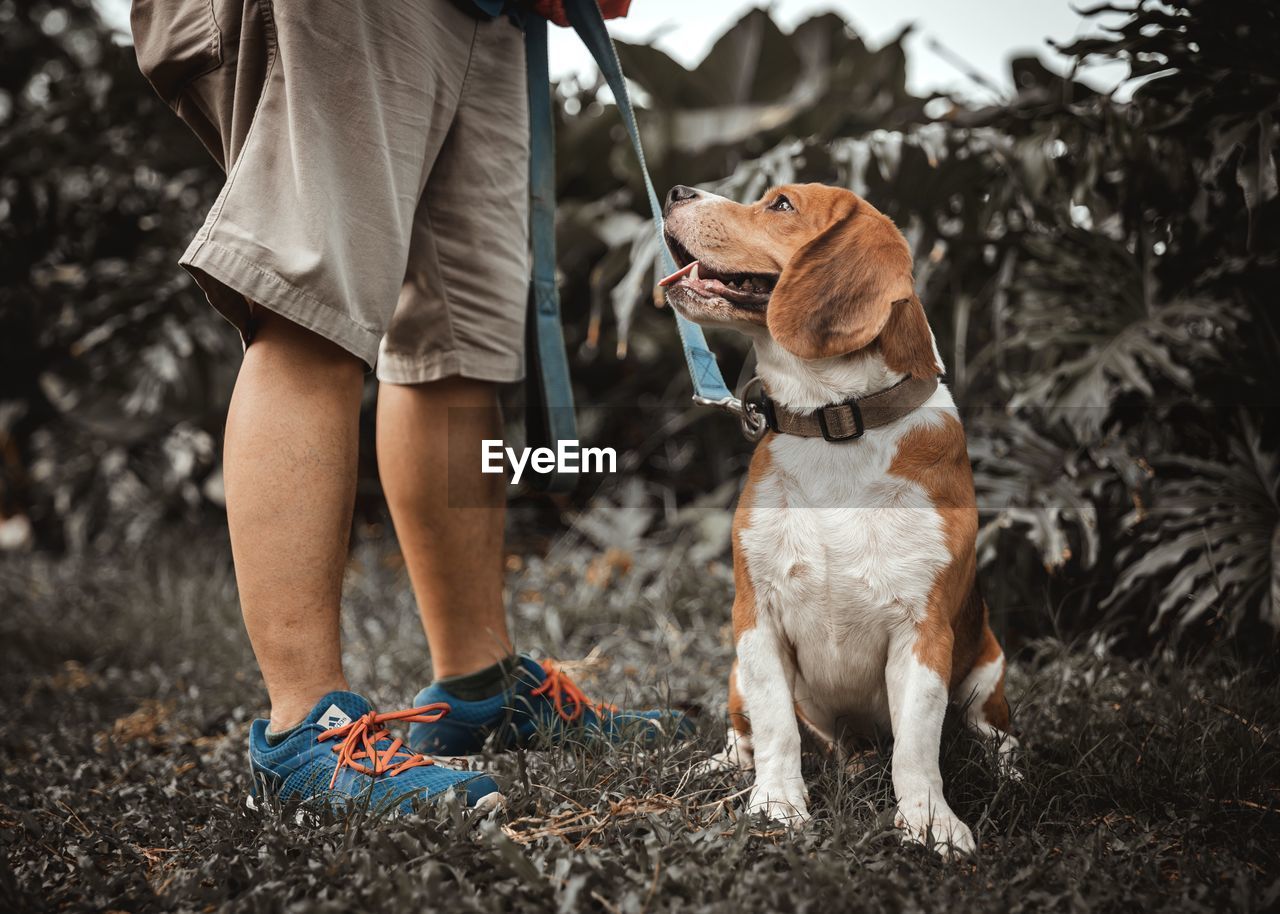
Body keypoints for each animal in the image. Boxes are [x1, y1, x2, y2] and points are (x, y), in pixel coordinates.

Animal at [665, 183, 1013, 855]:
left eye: (779, 205)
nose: (675, 191)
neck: (834, 421)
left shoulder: (923, 632)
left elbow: (917, 747)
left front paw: (930, 823)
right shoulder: (756, 617)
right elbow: (777, 728)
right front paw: (777, 806)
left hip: (989, 665)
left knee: (988, 731)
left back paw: (1005, 764)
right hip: (736, 674)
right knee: (748, 733)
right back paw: (725, 765)